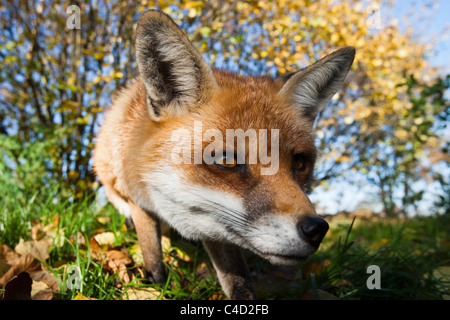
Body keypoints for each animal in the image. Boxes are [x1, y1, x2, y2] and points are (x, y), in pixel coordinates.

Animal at [94, 10, 356, 300]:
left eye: (299, 163)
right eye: (226, 160)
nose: (316, 230)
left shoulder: (217, 226)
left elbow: (237, 278)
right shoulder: (140, 200)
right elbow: (152, 254)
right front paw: (154, 286)